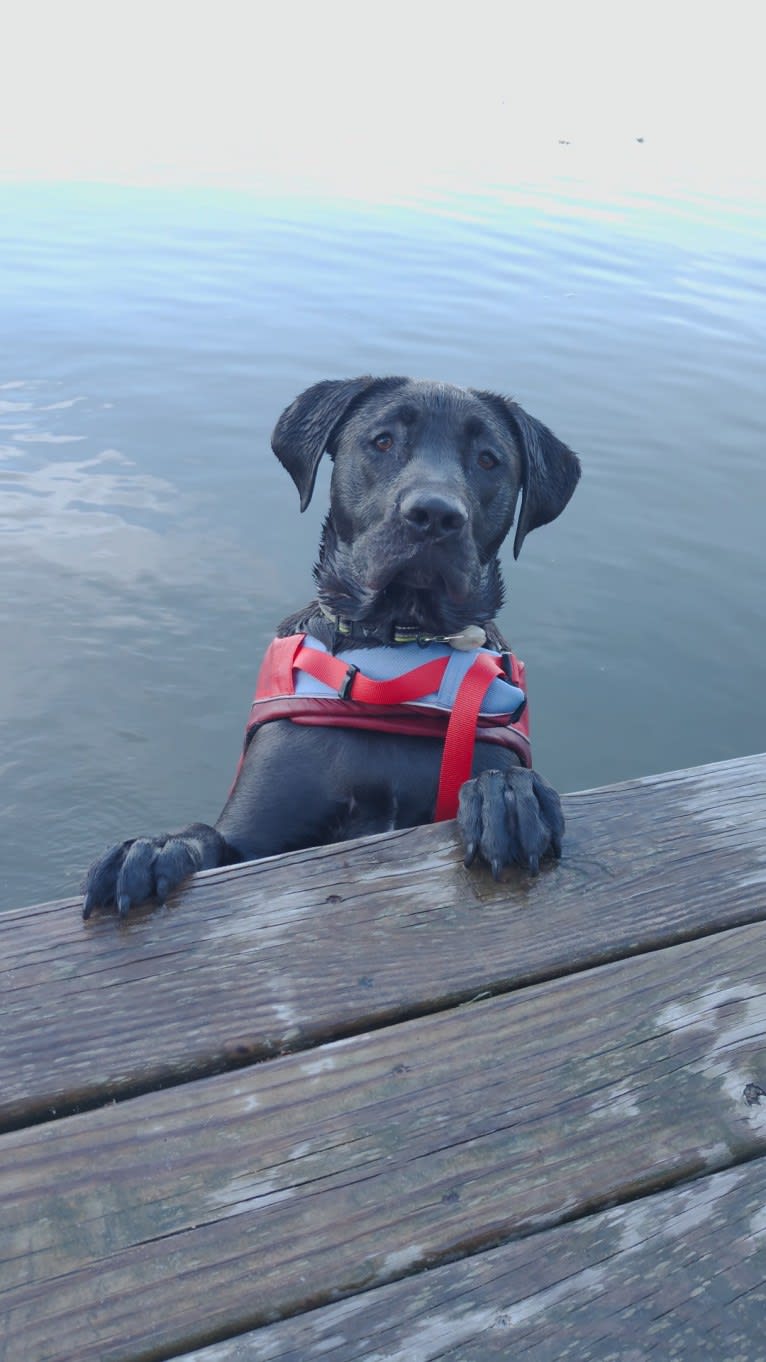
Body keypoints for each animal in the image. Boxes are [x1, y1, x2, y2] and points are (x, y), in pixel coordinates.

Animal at [82, 378, 577, 920]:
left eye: (489, 459)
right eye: (382, 441)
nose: (435, 515)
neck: (396, 656)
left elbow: (501, 776)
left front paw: (506, 794)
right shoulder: (255, 837)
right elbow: (208, 837)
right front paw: (157, 846)